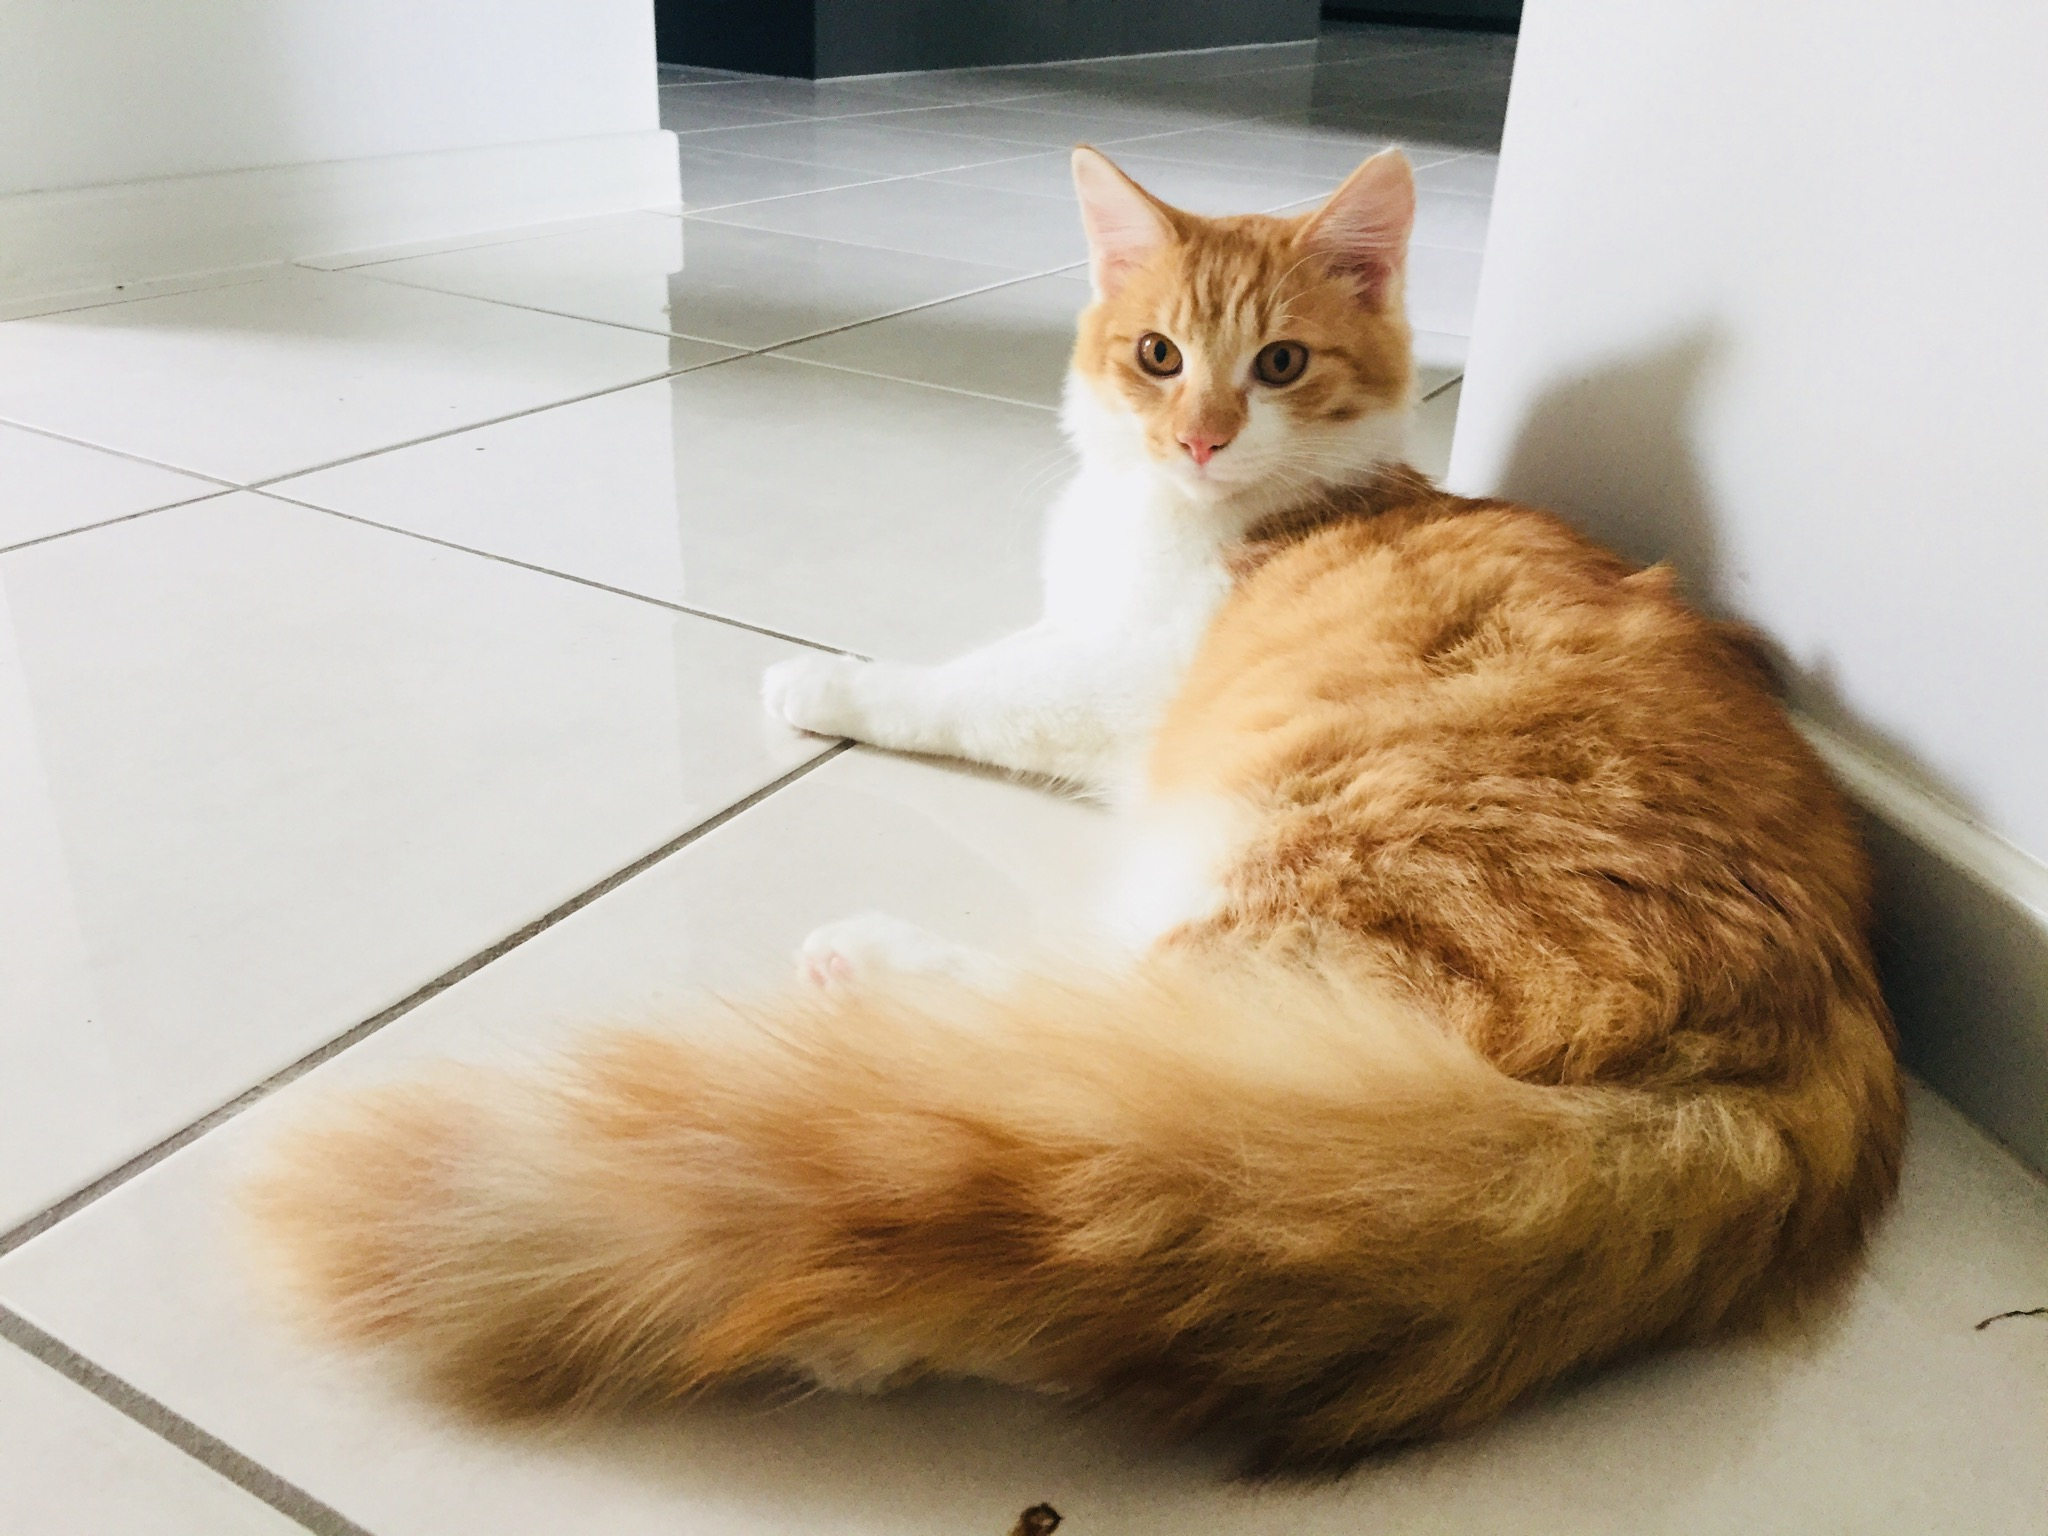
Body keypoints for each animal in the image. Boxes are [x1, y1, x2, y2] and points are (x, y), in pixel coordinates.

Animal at [245, 146, 1904, 1473]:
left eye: (1279, 364)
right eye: (1159, 355)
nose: (1201, 436)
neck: (1201, 512)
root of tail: (1784, 1078)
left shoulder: (1105, 682)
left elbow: (965, 682)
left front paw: (827, 679)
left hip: (1303, 917)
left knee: (1085, 1127)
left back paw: (864, 1204)